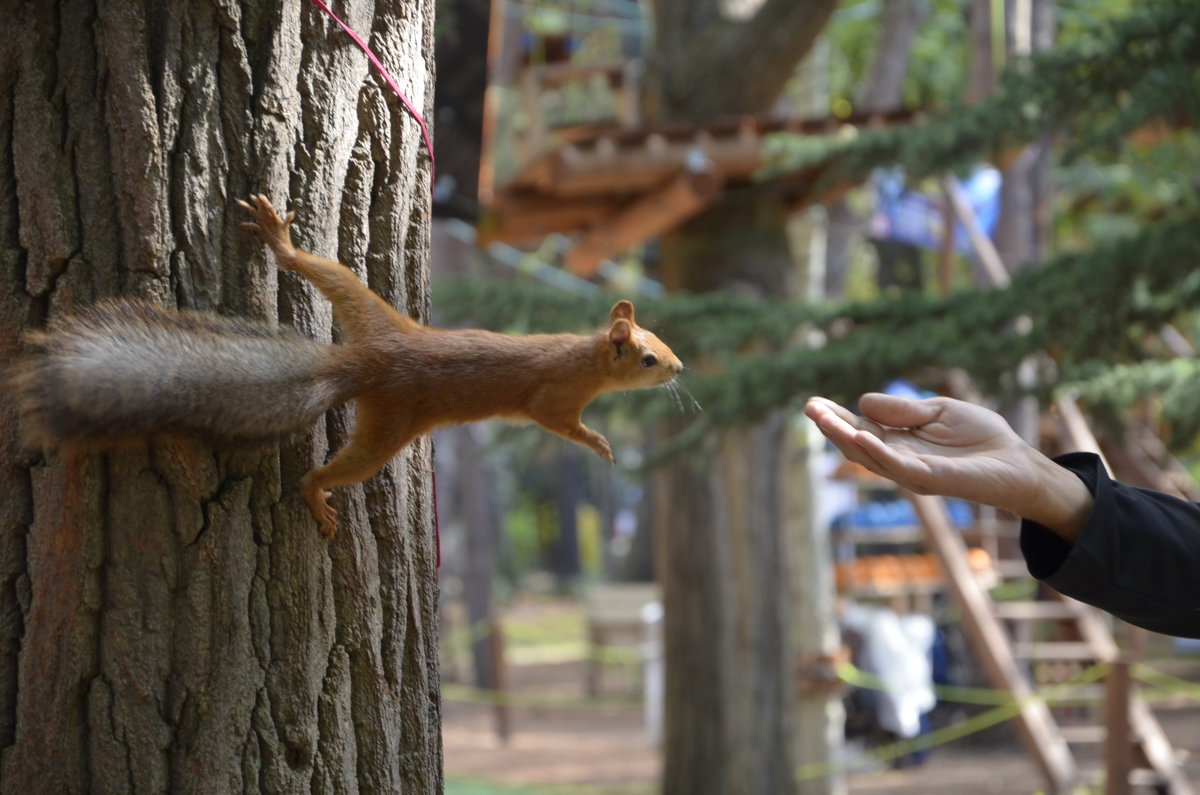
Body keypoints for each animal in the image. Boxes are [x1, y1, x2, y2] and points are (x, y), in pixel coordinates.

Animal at [11, 195, 686, 538]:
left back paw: (279, 241)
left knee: (321, 272)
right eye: (648, 356)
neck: (584, 354)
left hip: (365, 307)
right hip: (388, 428)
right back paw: (316, 498)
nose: (679, 369)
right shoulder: (553, 398)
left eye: (658, 339)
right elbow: (560, 424)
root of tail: (369, 360)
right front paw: (600, 444)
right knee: (333, 471)